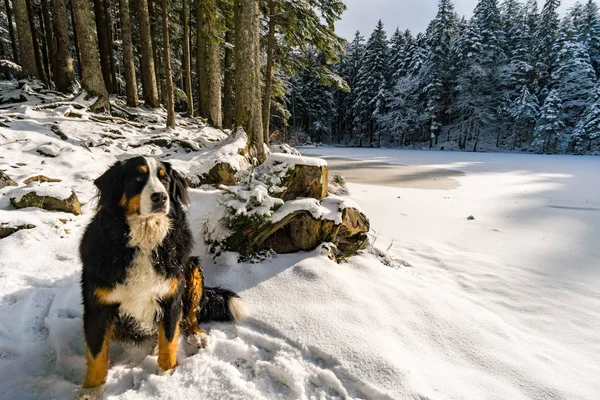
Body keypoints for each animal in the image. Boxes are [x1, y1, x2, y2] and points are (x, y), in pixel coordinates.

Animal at [78, 156, 246, 396]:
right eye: (137, 177)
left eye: (164, 179)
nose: (161, 197)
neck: (144, 239)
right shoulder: (97, 304)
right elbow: (97, 351)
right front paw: (91, 390)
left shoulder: (171, 295)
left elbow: (168, 336)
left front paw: (166, 374)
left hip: (192, 269)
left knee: (190, 315)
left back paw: (196, 335)